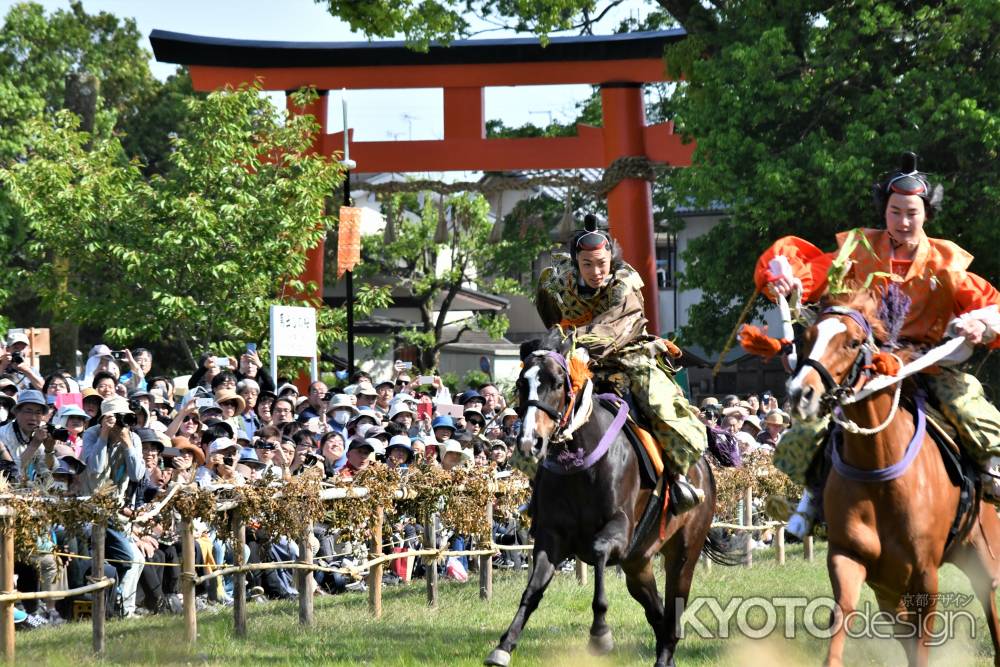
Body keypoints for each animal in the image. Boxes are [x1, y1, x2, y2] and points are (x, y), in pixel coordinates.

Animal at [788, 292, 1000, 667]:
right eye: (808, 337)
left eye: (852, 342)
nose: (801, 394)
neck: (878, 474)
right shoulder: (848, 557)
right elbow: (842, 614)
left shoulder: (925, 573)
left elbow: (922, 639)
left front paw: (972, 326)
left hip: (982, 553)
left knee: (989, 600)